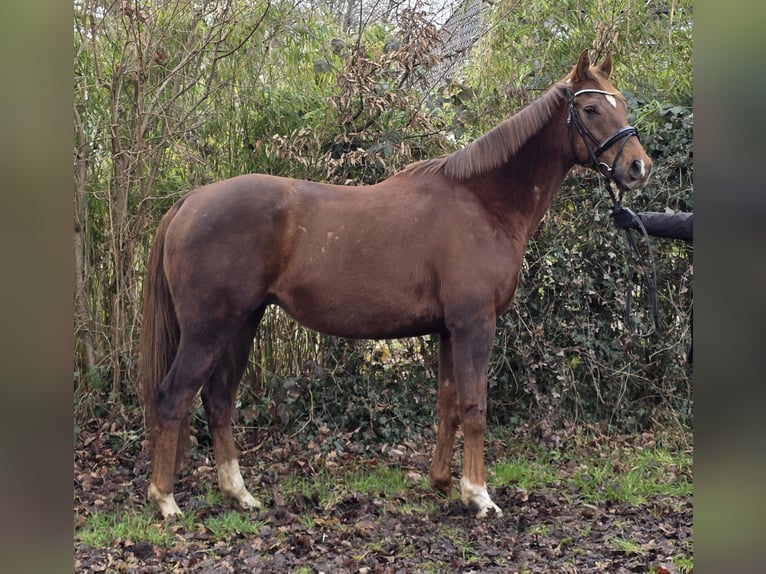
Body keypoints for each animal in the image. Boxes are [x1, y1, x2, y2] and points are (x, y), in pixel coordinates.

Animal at [140, 50, 651, 519]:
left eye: (622, 103)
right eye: (591, 109)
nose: (638, 167)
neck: (483, 203)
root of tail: (189, 202)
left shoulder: (448, 330)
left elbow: (448, 403)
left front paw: (443, 483)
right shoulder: (474, 324)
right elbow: (475, 406)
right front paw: (479, 495)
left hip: (243, 323)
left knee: (219, 399)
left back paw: (239, 494)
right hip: (209, 329)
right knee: (175, 396)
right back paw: (165, 501)